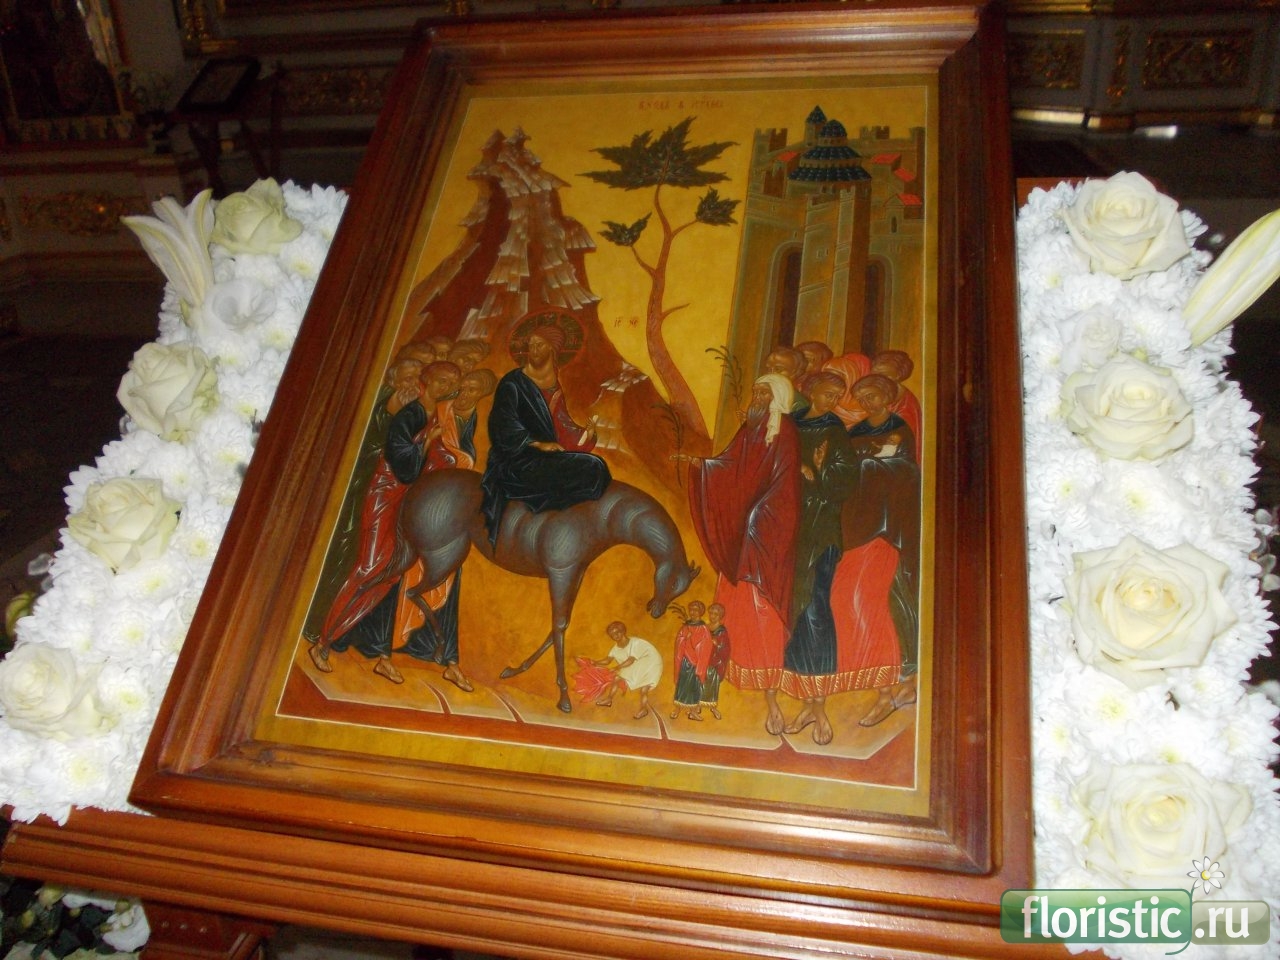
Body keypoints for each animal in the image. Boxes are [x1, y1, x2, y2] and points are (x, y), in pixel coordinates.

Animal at [394, 469, 700, 713]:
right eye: (673, 582)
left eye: (680, 589)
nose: (656, 611)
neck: (598, 515)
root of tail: (415, 490)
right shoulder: (561, 573)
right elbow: (559, 626)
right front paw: (564, 698)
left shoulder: (575, 574)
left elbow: (558, 628)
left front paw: (515, 670)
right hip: (444, 557)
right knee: (411, 592)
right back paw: (437, 655)